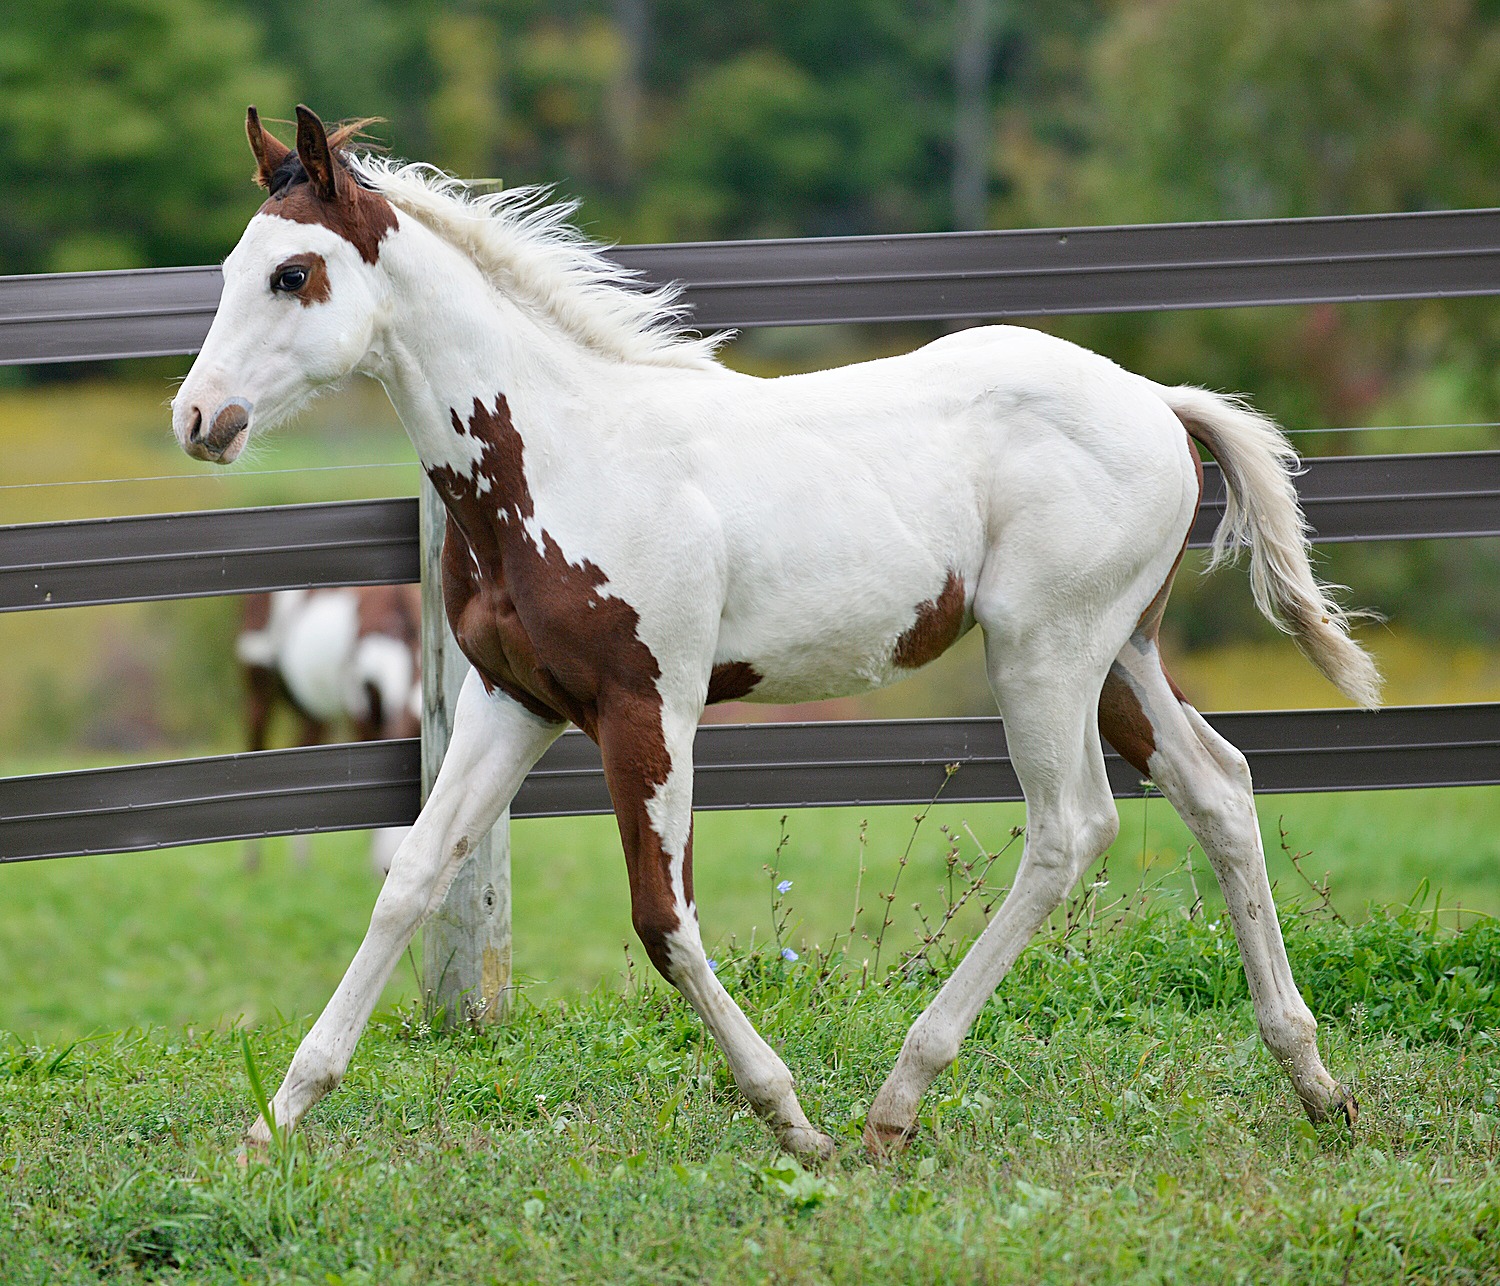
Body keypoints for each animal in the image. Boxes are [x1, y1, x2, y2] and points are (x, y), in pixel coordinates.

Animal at [172, 108, 1380, 1152]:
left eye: (294, 273)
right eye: (230, 270)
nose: (198, 419)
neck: (561, 455)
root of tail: (1158, 400)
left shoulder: (648, 705)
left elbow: (662, 919)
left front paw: (790, 1115)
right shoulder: (511, 701)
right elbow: (412, 875)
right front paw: (274, 1120)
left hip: (1046, 651)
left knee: (1070, 828)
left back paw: (896, 1103)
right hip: (1120, 656)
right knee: (1218, 788)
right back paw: (1315, 1080)